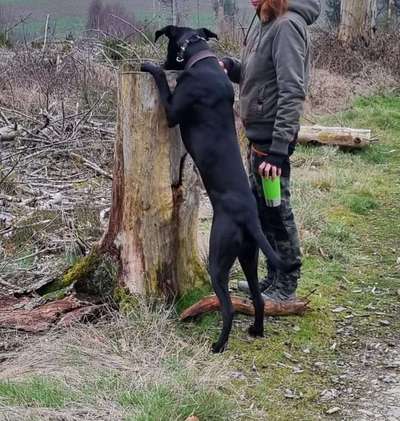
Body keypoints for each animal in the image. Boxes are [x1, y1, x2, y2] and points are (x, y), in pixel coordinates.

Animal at [142, 25, 298, 352]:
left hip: (218, 257)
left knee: (227, 307)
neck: (202, 60)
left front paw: (150, 67)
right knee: (257, 299)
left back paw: (218, 345)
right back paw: (256, 330)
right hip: (249, 256)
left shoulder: (172, 110)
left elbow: (162, 82)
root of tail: (249, 219)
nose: (165, 62)